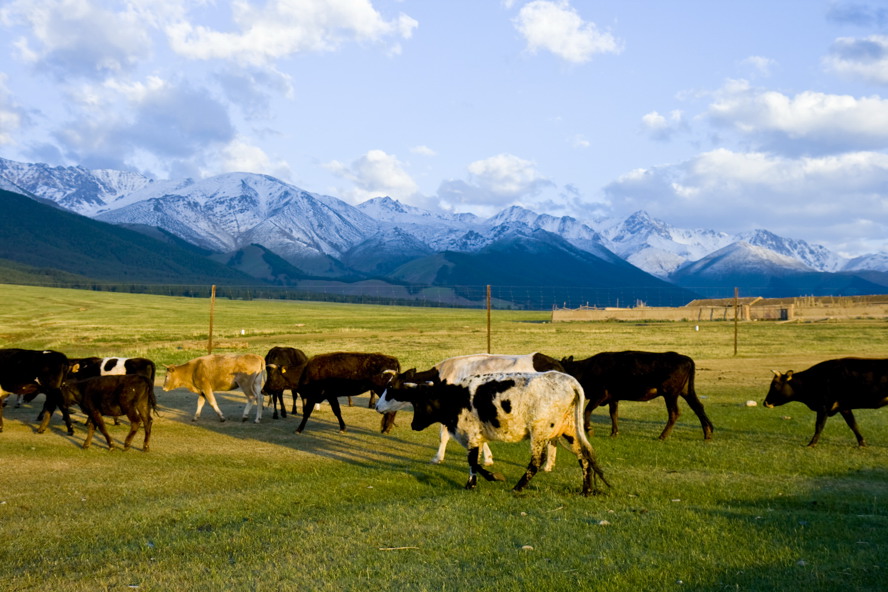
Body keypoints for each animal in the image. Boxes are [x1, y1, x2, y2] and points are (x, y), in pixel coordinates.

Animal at [374, 370, 612, 494]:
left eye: (391, 391)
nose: (377, 407)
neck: (455, 396)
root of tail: (569, 381)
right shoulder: (475, 437)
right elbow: (475, 462)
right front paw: (478, 481)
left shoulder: (470, 435)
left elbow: (473, 462)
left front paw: (483, 480)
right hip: (568, 431)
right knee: (584, 458)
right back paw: (586, 490)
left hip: (539, 433)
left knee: (536, 462)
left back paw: (518, 487)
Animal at [400, 352, 564, 468]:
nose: (414, 425)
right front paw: (487, 459)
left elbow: (444, 435)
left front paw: (437, 458)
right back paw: (549, 465)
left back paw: (547, 465)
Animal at [560, 352, 716, 440]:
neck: (587, 369)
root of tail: (684, 358)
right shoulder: (613, 397)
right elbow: (613, 414)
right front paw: (614, 433)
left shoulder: (600, 395)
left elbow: (587, 410)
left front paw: (589, 429)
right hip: (685, 391)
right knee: (698, 407)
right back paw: (707, 433)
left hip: (670, 394)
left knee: (674, 413)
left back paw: (663, 436)